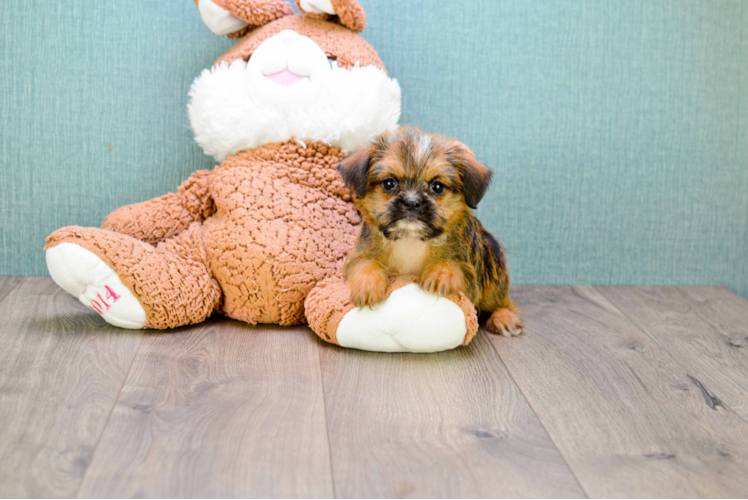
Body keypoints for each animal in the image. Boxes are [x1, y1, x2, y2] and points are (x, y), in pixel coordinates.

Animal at [336, 126, 524, 336]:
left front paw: (440, 274)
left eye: (437, 187)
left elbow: (453, 265)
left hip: (493, 274)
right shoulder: (358, 256)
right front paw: (367, 285)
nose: (411, 202)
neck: (411, 239)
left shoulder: (470, 279)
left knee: (504, 303)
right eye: (389, 183)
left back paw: (504, 318)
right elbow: (366, 264)